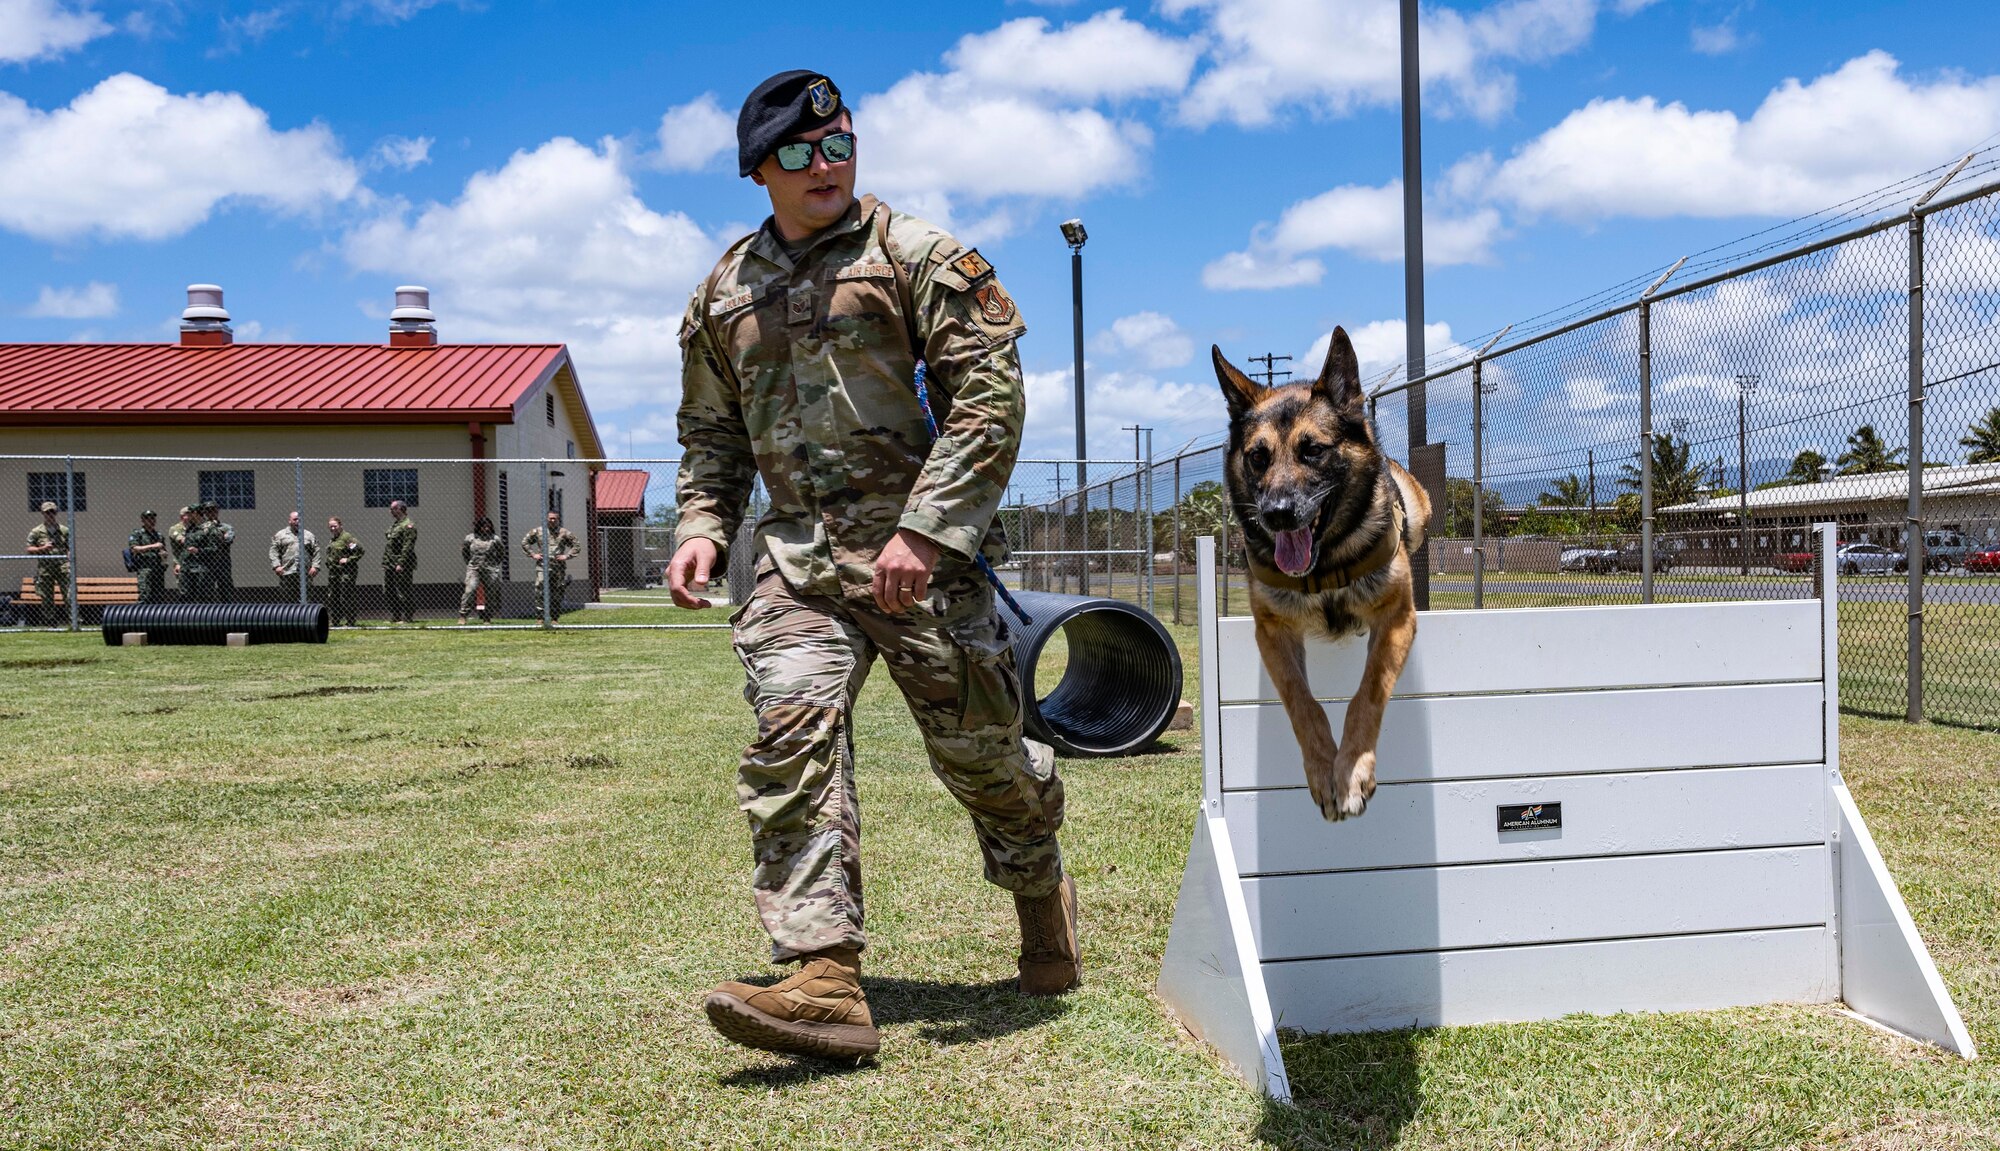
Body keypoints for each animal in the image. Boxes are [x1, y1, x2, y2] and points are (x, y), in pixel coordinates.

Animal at [1208, 325, 1432, 819]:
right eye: (1257, 457)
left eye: (1312, 450)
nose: (1277, 515)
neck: (1326, 562)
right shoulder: (1272, 631)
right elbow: (1302, 702)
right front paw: (1323, 771)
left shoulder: (1397, 618)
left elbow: (1367, 693)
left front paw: (1351, 772)